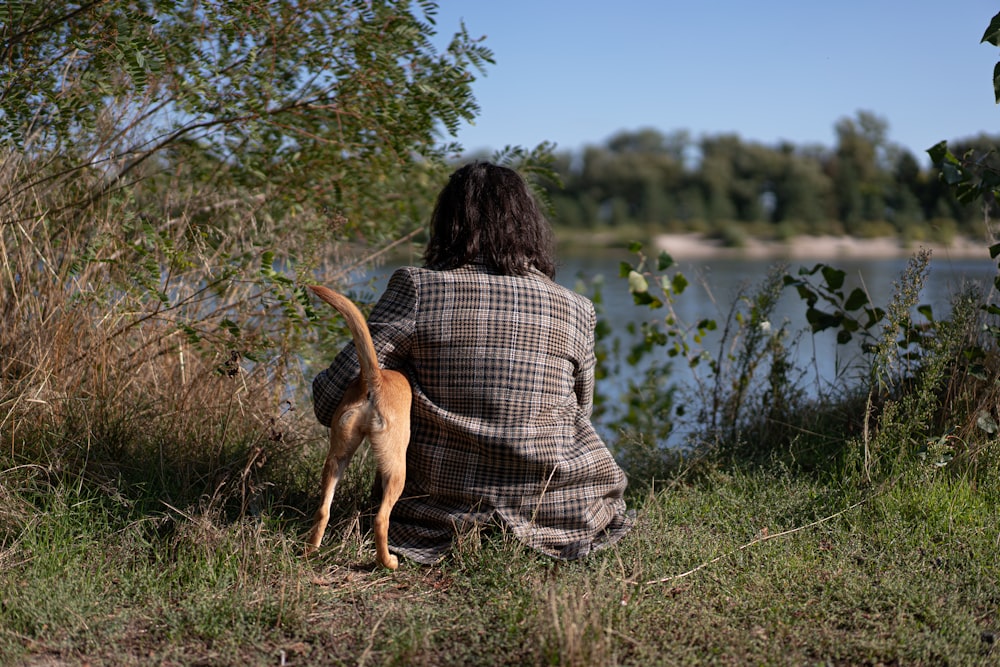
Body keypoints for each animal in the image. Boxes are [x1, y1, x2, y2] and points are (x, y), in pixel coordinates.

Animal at [306, 284, 412, 572]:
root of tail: (374, 378)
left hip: (337, 456)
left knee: (323, 510)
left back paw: (310, 552)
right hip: (397, 470)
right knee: (381, 520)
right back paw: (387, 562)